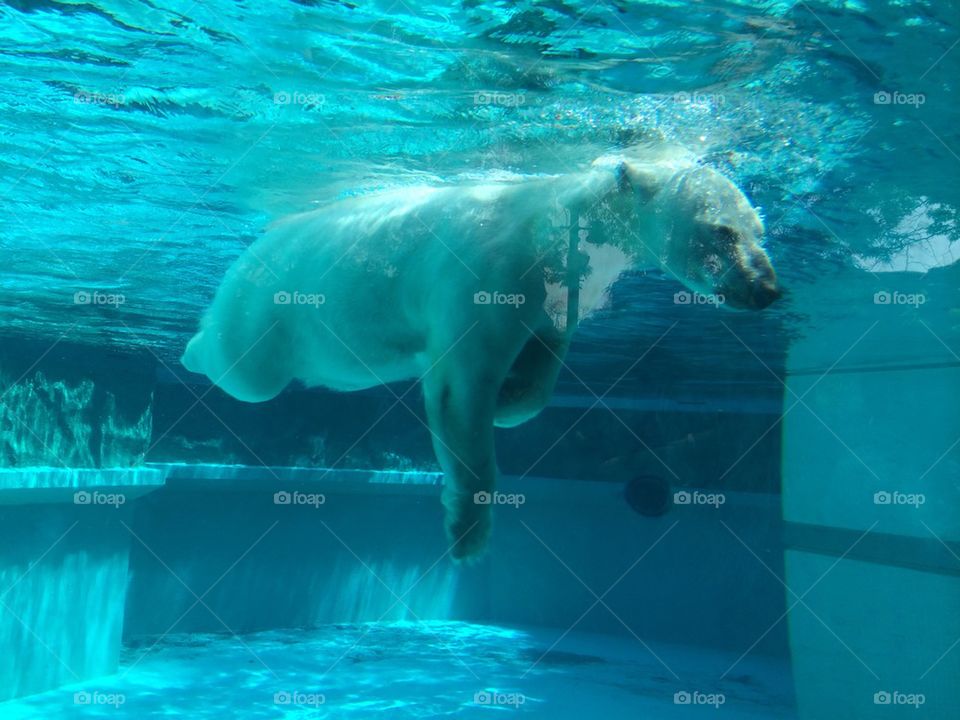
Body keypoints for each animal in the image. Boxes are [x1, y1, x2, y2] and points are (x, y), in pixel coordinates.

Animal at [182, 145, 780, 561]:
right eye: (721, 231)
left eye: (760, 229)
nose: (767, 290)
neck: (552, 225)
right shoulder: (489, 274)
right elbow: (460, 390)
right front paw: (468, 533)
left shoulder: (560, 290)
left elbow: (545, 360)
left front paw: (512, 400)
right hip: (267, 307)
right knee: (247, 372)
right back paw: (194, 349)